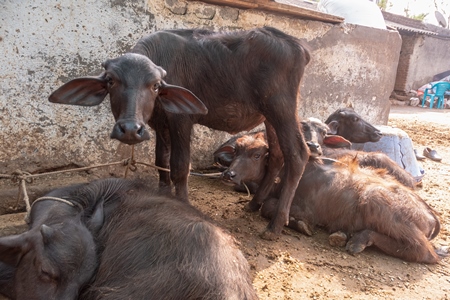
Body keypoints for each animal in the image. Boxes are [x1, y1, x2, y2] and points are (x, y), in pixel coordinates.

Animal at [48, 27, 310, 239]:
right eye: (111, 81)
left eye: (155, 85)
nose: (130, 129)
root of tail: (296, 45)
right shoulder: (160, 124)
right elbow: (161, 161)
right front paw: (164, 196)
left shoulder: (181, 120)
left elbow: (180, 166)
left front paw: (183, 203)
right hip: (268, 117)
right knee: (277, 156)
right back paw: (254, 204)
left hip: (282, 108)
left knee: (298, 154)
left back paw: (275, 225)